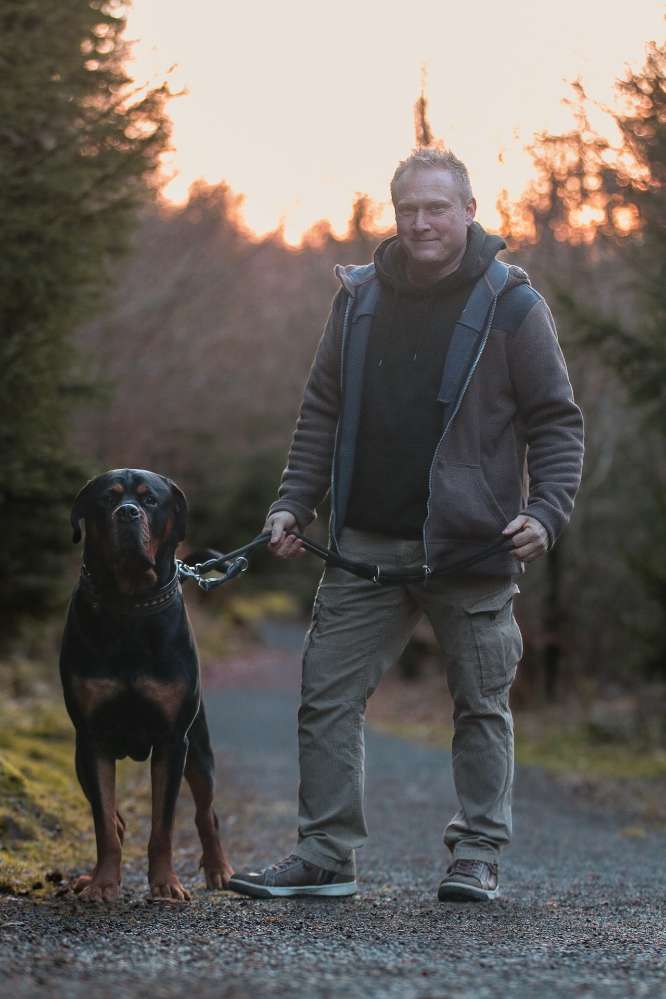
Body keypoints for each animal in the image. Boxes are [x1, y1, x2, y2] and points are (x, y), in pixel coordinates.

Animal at [59, 472, 235, 904]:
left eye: (150, 500)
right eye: (106, 499)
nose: (127, 513)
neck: (129, 603)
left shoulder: (173, 740)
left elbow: (163, 824)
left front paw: (166, 883)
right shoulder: (92, 738)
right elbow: (104, 824)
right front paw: (103, 883)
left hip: (199, 748)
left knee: (206, 812)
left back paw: (219, 869)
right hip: (79, 757)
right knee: (111, 815)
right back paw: (88, 877)